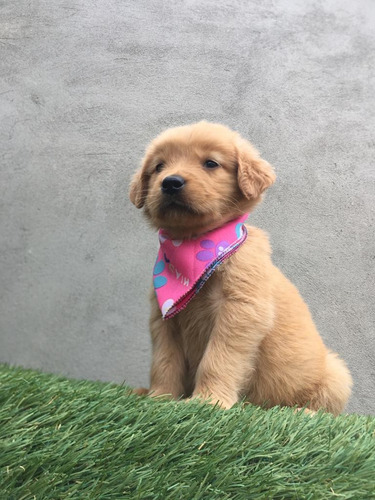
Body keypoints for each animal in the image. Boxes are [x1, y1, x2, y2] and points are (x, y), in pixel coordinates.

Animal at [129, 121, 352, 414]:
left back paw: (300, 411)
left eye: (211, 163)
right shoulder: (164, 318)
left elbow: (218, 358)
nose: (170, 182)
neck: (196, 244)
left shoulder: (240, 310)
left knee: (327, 410)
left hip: (337, 374)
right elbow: (164, 361)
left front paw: (208, 400)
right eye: (158, 167)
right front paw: (160, 397)